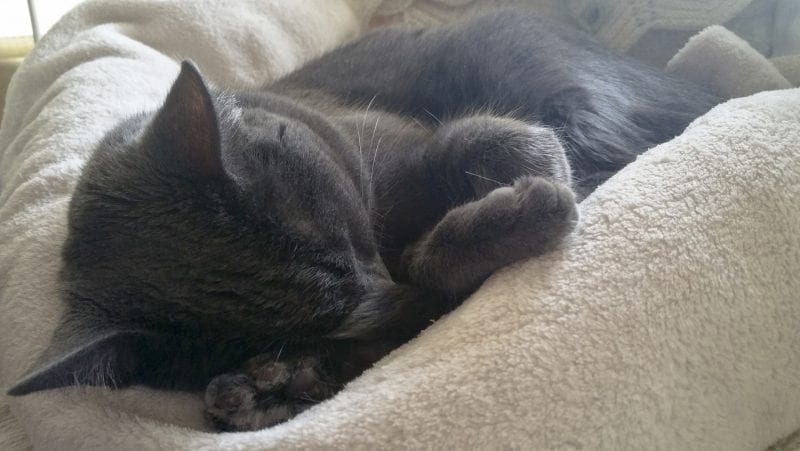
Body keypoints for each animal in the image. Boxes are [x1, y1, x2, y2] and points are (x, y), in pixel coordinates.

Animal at [6, 8, 720, 430]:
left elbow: (491, 143)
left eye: (346, 238)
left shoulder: (413, 145)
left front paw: (520, 207)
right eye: (325, 319)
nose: (387, 279)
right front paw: (270, 386)